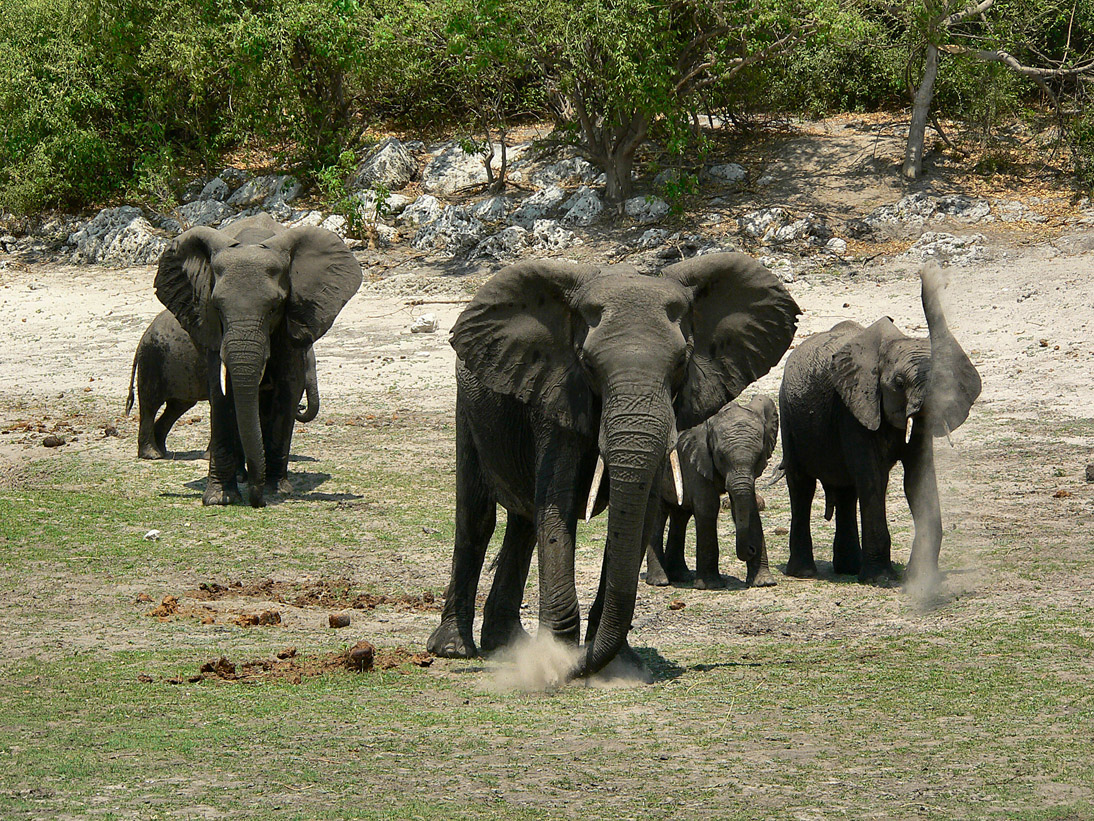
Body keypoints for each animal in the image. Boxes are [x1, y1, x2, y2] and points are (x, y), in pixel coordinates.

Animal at [126, 310, 319, 464]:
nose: (301, 407)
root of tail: (142, 338)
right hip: (152, 360)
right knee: (151, 404)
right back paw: (152, 455)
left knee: (177, 406)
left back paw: (162, 451)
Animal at [154, 212, 361, 507]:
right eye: (218, 308)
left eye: (274, 307)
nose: (258, 501)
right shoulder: (210, 326)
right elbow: (221, 393)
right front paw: (219, 498)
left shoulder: (290, 320)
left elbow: (287, 391)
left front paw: (276, 491)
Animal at [643, 398, 783, 591]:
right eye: (720, 456)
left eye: (759, 457)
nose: (751, 549)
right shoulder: (695, 455)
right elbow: (708, 506)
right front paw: (711, 585)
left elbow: (750, 507)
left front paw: (764, 582)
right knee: (658, 516)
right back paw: (660, 580)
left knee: (681, 516)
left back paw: (681, 576)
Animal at [778, 263, 984, 586]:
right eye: (898, 383)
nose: (927, 268)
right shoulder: (852, 408)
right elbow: (874, 478)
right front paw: (882, 579)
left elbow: (918, 477)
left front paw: (918, 578)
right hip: (788, 415)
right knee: (802, 485)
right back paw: (805, 572)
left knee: (846, 489)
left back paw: (849, 568)